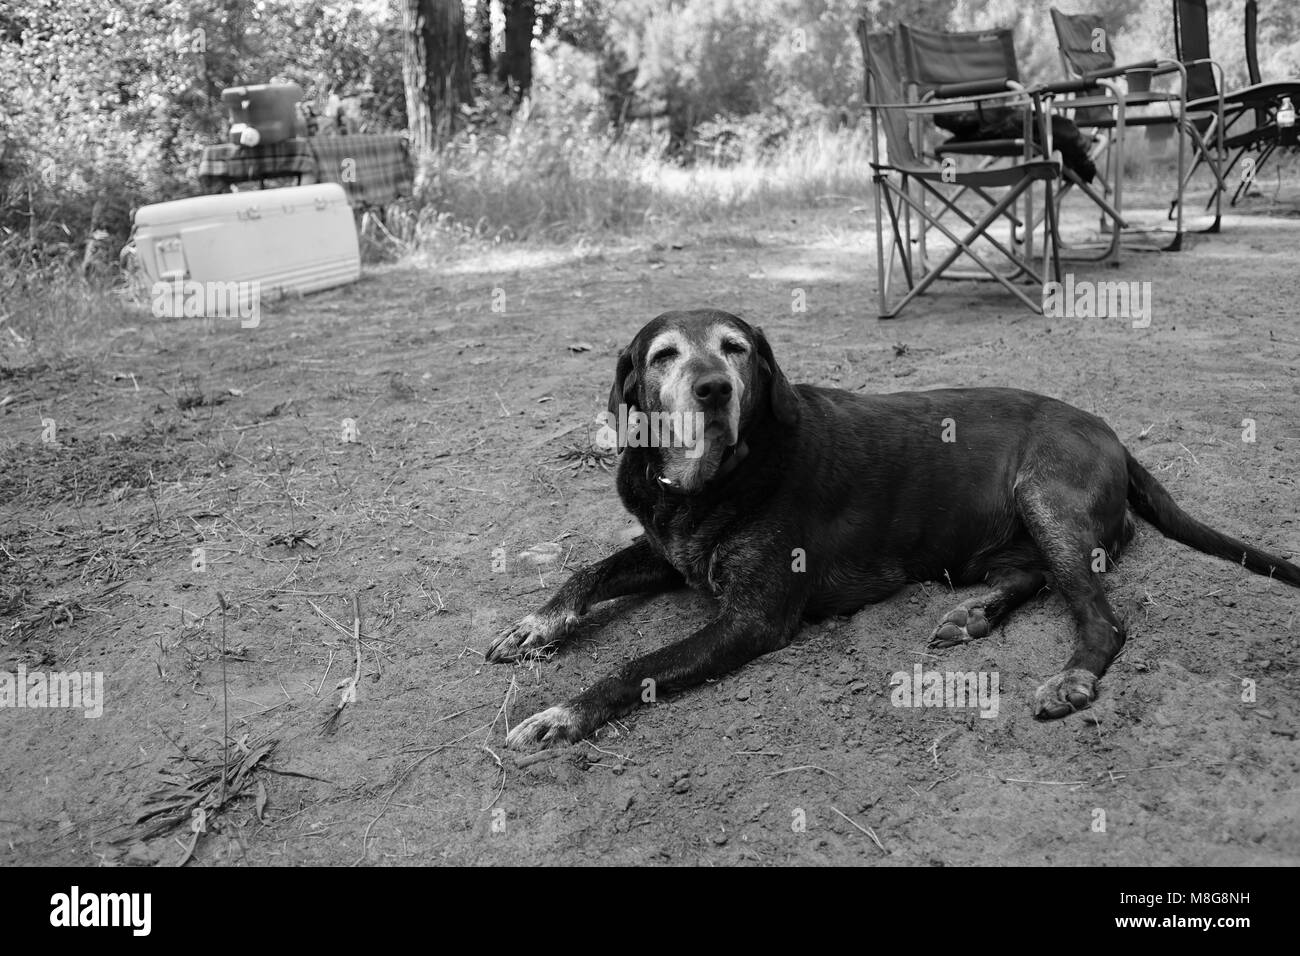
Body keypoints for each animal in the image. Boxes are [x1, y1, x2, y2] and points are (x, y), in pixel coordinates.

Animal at [488, 310, 1300, 749]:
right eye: (663, 357)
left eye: (735, 347)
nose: (713, 390)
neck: (708, 481)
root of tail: (1116, 436)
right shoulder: (668, 551)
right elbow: (588, 571)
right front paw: (535, 625)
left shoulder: (753, 618)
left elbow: (637, 666)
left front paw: (560, 714)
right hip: (1004, 536)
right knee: (1032, 573)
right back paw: (976, 613)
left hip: (1045, 494)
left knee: (1101, 615)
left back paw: (1070, 678)